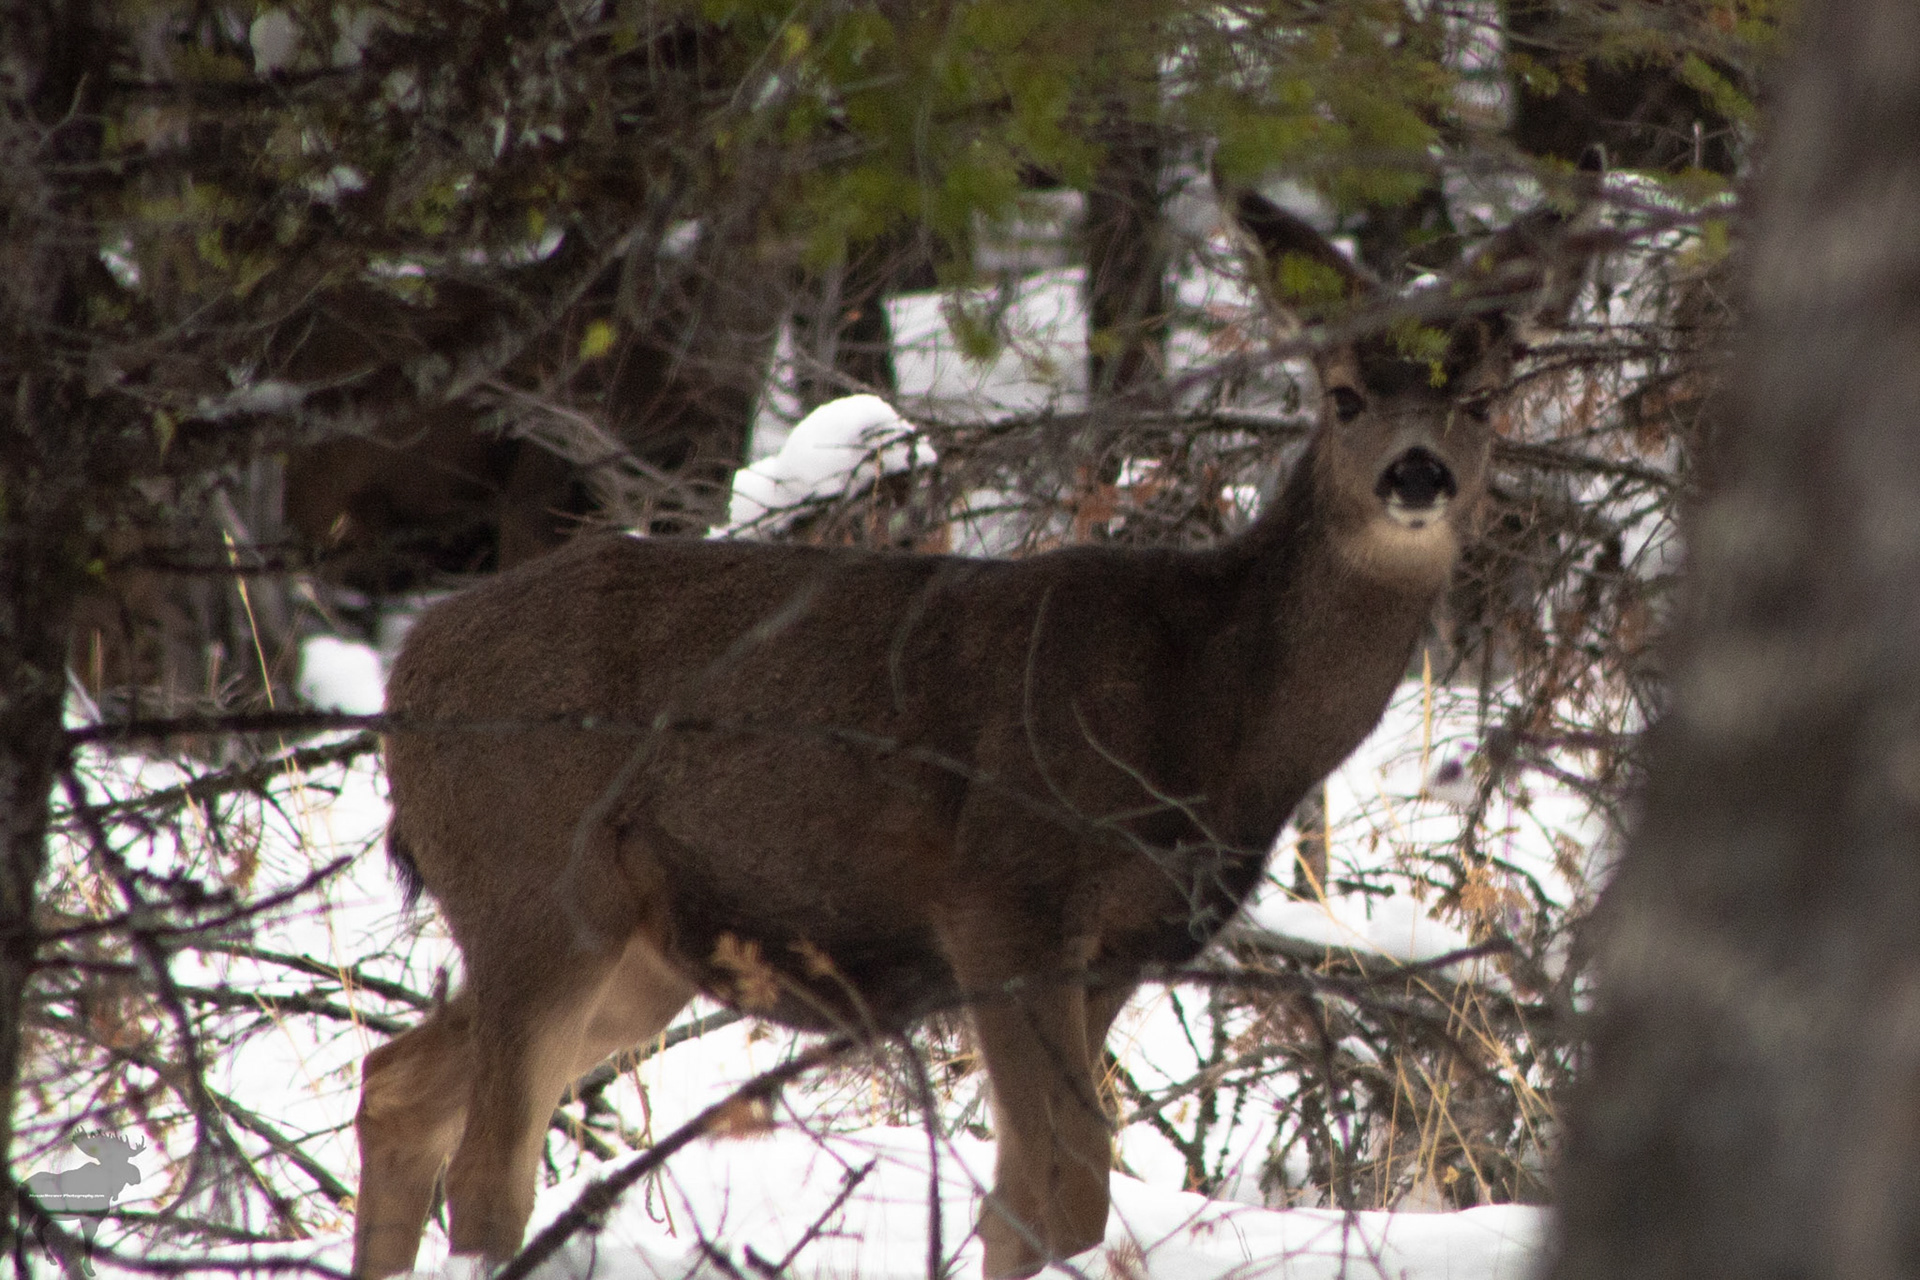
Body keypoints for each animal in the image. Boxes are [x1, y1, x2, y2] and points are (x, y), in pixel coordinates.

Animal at [349, 187, 1580, 1279]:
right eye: (1343, 394)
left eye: (1483, 398)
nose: (1416, 473)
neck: (1207, 711)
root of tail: (409, 671)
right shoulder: (1004, 896)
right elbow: (1069, 1175)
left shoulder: (1122, 944)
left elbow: (1021, 1193)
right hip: (535, 877)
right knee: (489, 1166)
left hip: (639, 944)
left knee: (397, 1079)